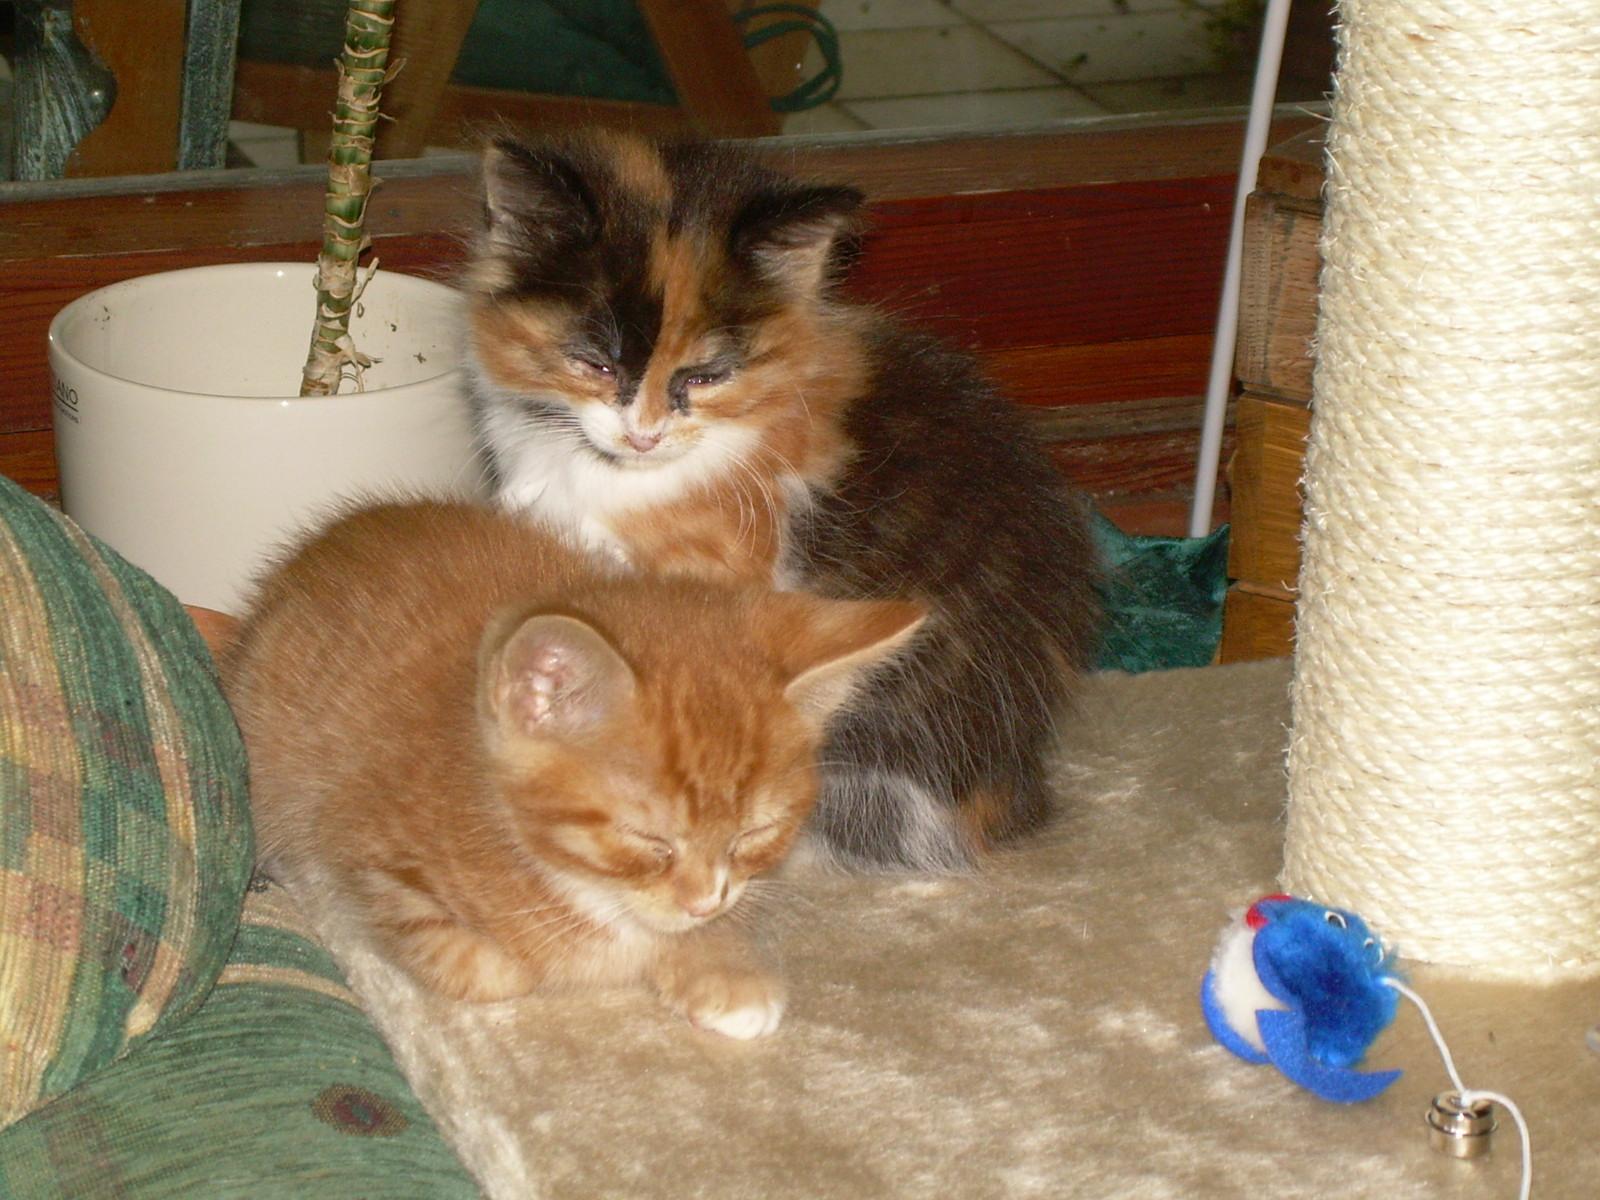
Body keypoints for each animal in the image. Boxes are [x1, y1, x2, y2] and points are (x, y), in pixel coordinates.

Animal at [221, 499, 921, 1038]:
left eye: (754, 835)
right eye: (648, 840)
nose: (703, 902)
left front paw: (723, 966)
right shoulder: (366, 845)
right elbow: (487, 968)